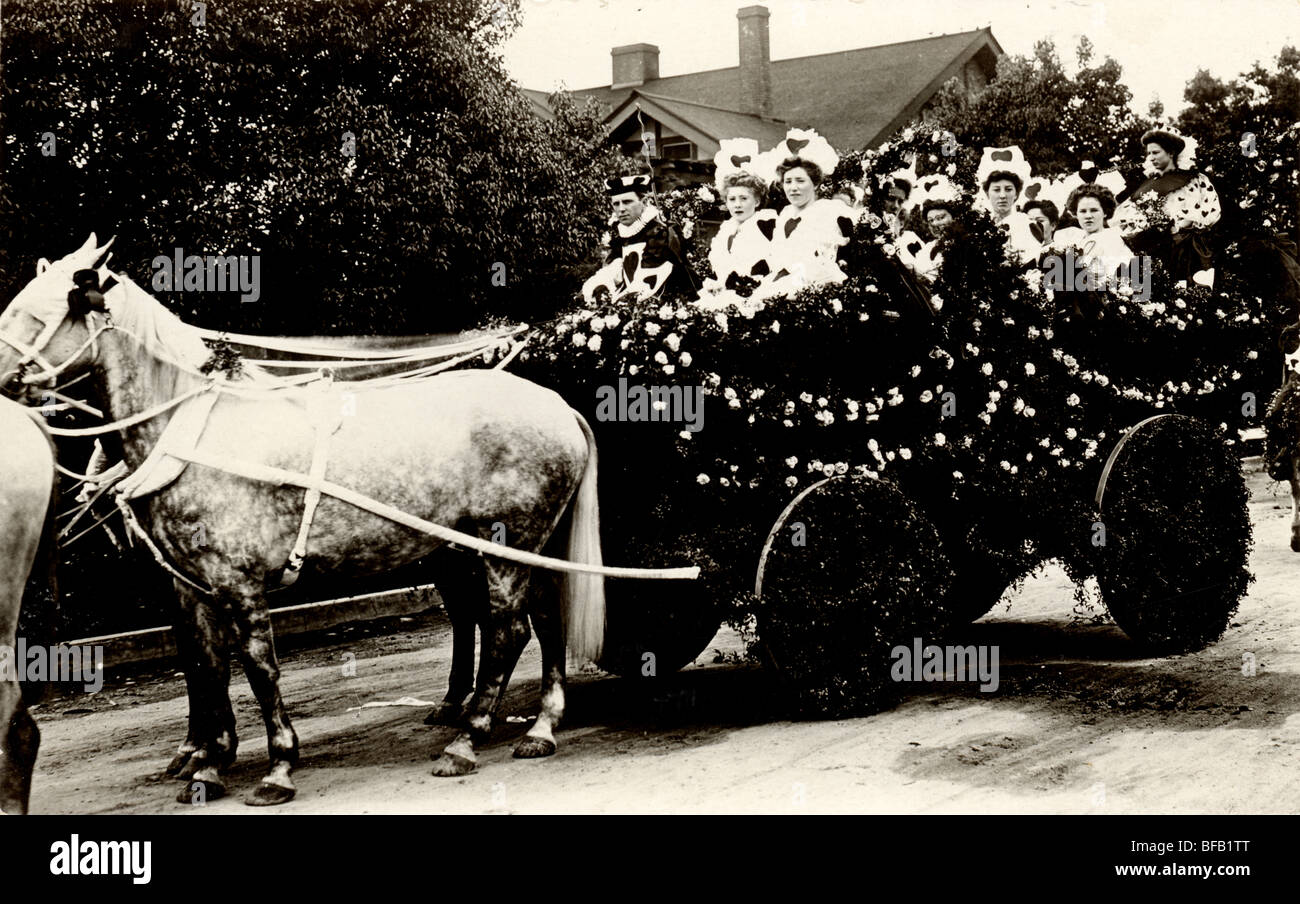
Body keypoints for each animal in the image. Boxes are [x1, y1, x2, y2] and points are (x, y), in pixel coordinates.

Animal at [0, 235, 611, 806]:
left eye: (35, 313)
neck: (196, 433)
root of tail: (559, 405)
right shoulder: (193, 587)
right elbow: (207, 666)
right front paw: (208, 763)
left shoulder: (240, 585)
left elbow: (258, 669)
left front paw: (277, 767)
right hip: (515, 547)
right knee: (541, 619)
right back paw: (540, 726)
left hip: (504, 545)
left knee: (508, 629)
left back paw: (468, 737)